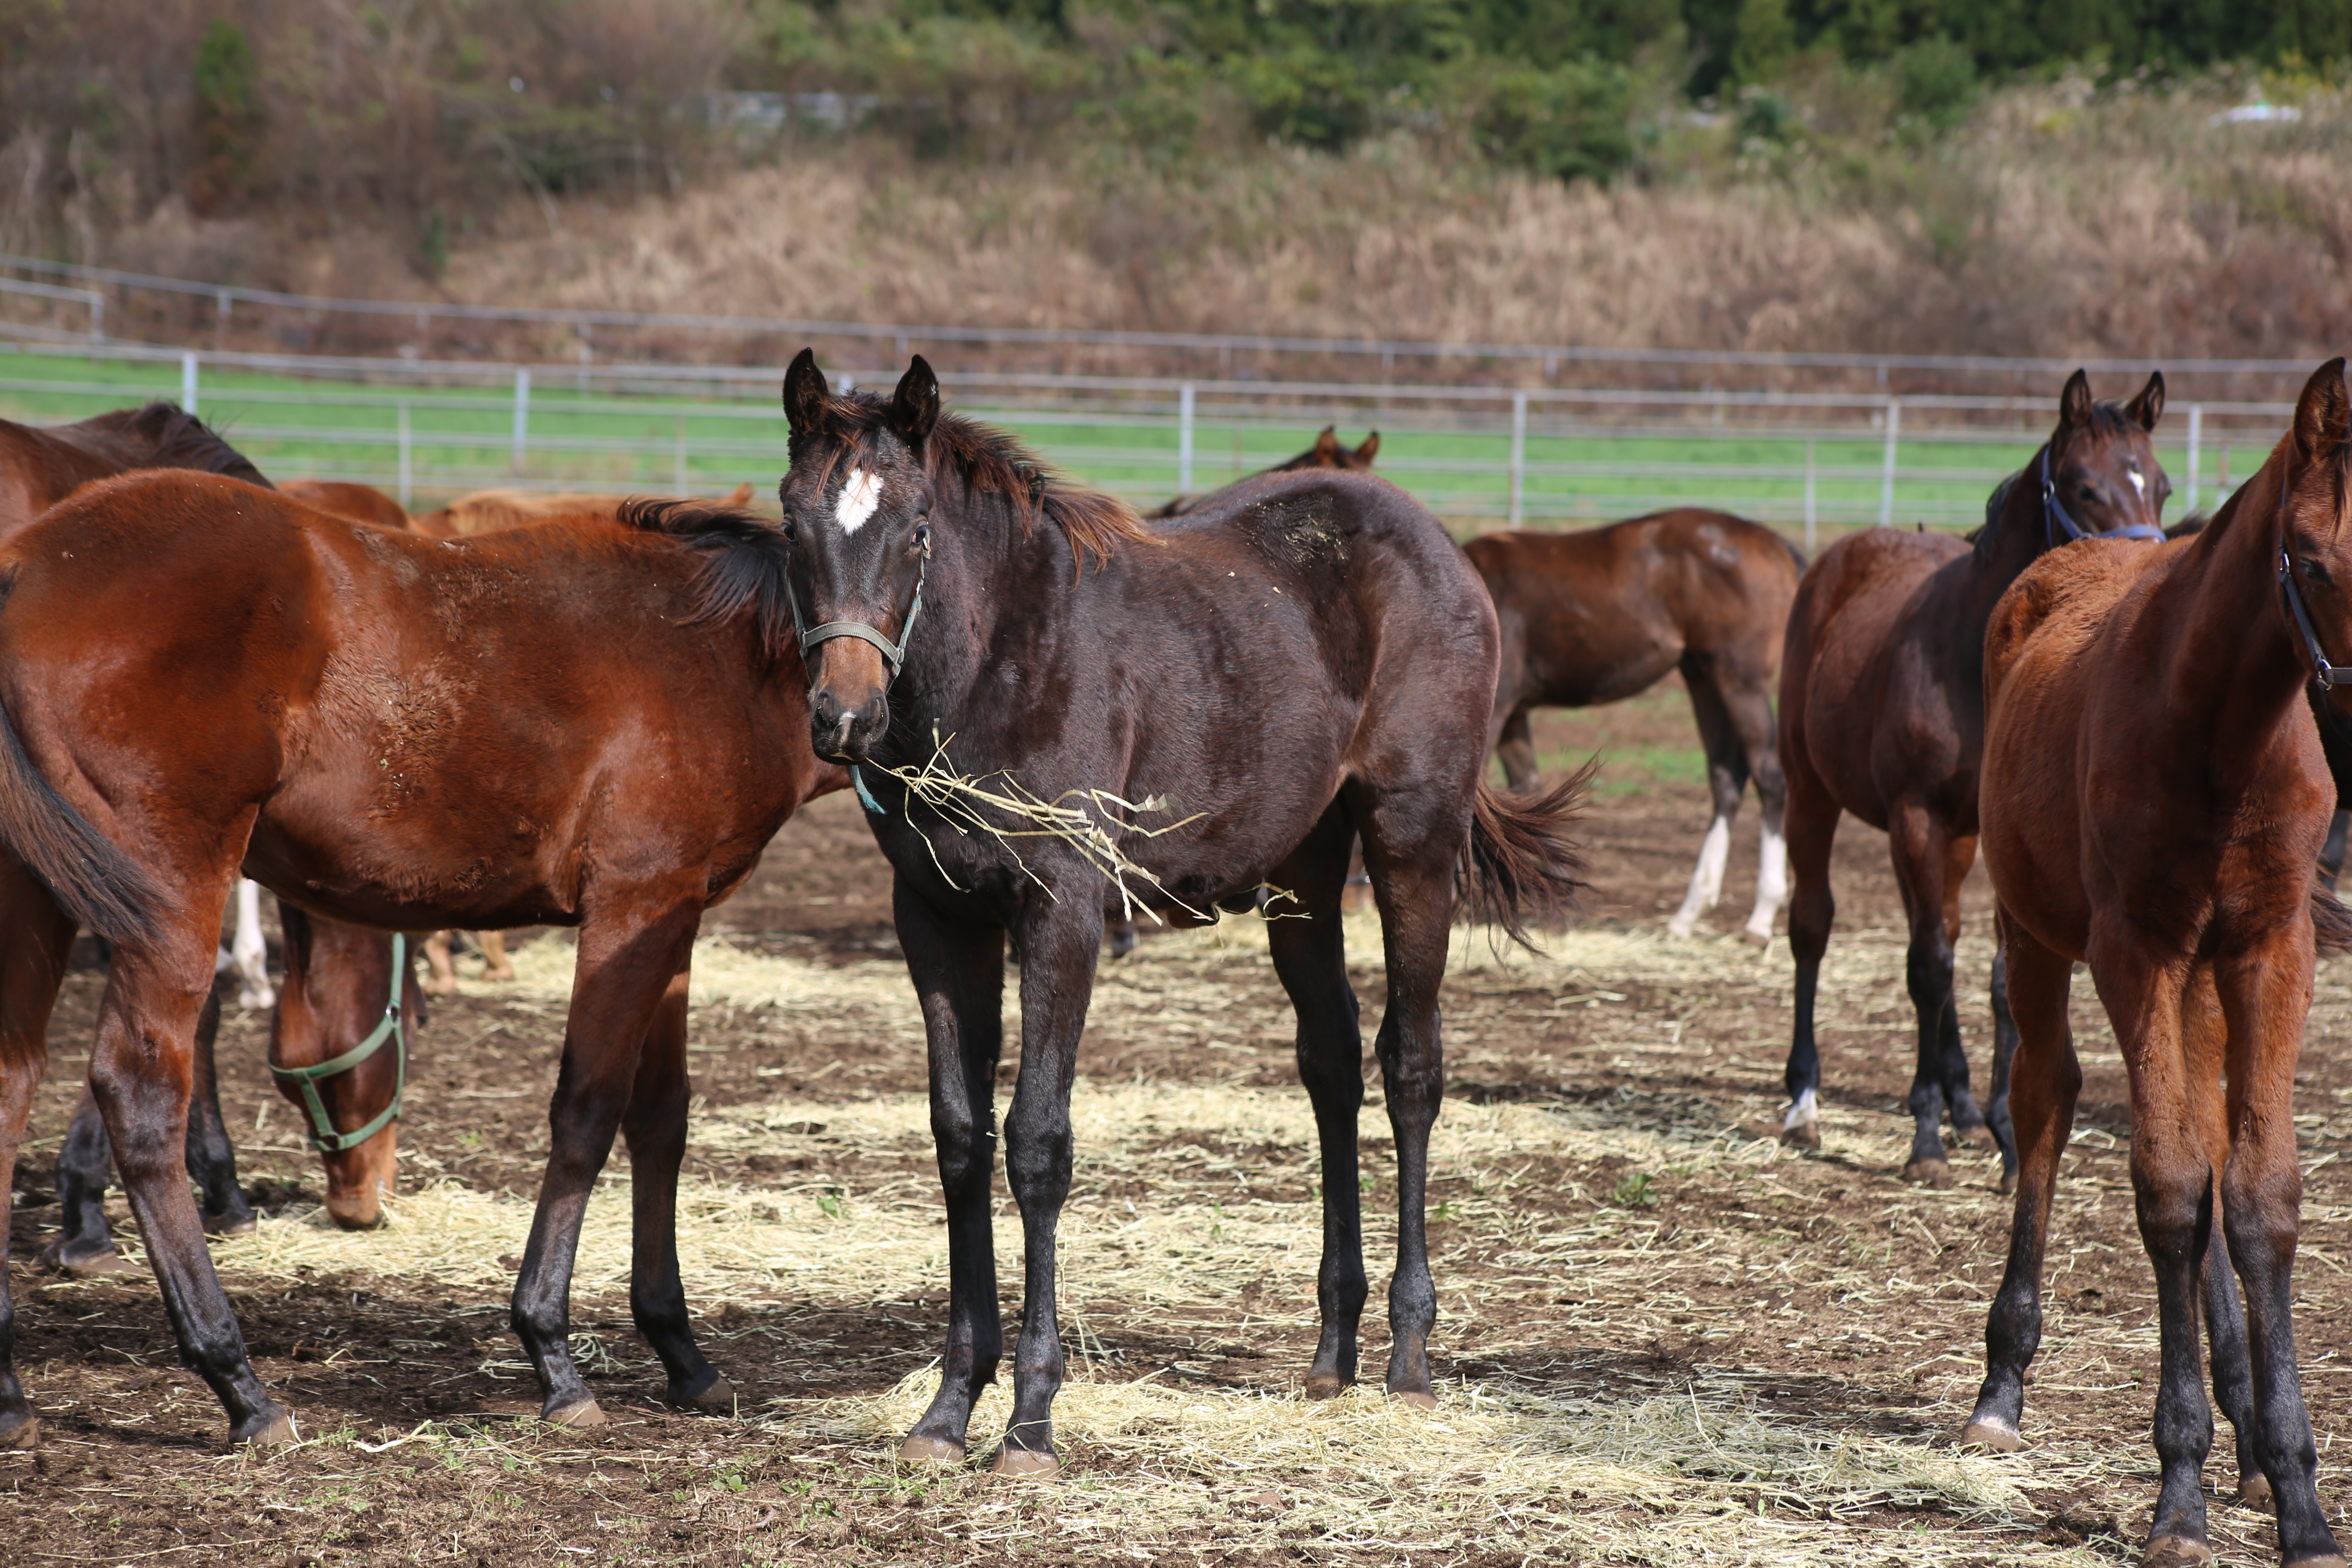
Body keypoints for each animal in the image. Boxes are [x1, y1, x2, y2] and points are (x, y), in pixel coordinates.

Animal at [0, 479, 851, 1448]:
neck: (725, 650)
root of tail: (29, 563)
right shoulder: (633, 909)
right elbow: (588, 1114)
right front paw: (553, 1357)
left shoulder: (676, 924)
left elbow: (660, 1121)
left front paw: (682, 1354)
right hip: (168, 893)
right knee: (141, 1096)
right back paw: (239, 1384)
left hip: (39, 894)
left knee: (13, 1084)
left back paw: (14, 1395)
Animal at [771, 350, 1580, 1476]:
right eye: (791, 520)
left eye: (917, 527)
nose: (844, 718)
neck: (997, 656)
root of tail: (1433, 541)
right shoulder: (936, 918)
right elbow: (959, 1139)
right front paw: (946, 1409)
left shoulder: (1061, 911)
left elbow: (1036, 1143)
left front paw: (1030, 1420)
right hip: (1303, 871)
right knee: (1331, 1066)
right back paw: (1331, 1354)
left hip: (1411, 843)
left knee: (1410, 1069)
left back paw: (1408, 1359)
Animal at [1468, 510, 1797, 940]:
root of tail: (1776, 545)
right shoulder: (1514, 714)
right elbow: (1528, 793)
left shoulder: (1499, 708)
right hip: (1703, 679)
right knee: (1726, 780)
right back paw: (1689, 911)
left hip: (1742, 682)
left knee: (1769, 778)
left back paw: (1762, 914)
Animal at [1957, 362, 2352, 1568]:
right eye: (2310, 559)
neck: (2221, 726)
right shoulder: (2133, 948)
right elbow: (2171, 1192)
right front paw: (2179, 1489)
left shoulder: (2267, 949)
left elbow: (2258, 1191)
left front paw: (2298, 1493)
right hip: (2039, 935)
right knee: (2044, 1102)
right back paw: (2001, 1383)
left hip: (2201, 975)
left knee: (2215, 1141)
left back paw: (2248, 1429)